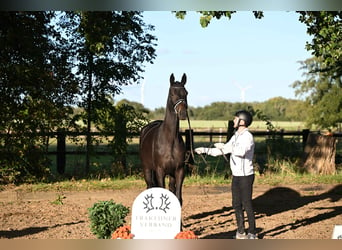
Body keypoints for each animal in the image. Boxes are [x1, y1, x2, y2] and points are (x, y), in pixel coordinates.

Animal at [139, 73, 187, 205]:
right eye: (172, 94)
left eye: (186, 93)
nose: (183, 114)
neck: (170, 141)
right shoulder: (160, 171)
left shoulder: (179, 171)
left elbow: (178, 197)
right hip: (147, 169)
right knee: (150, 186)